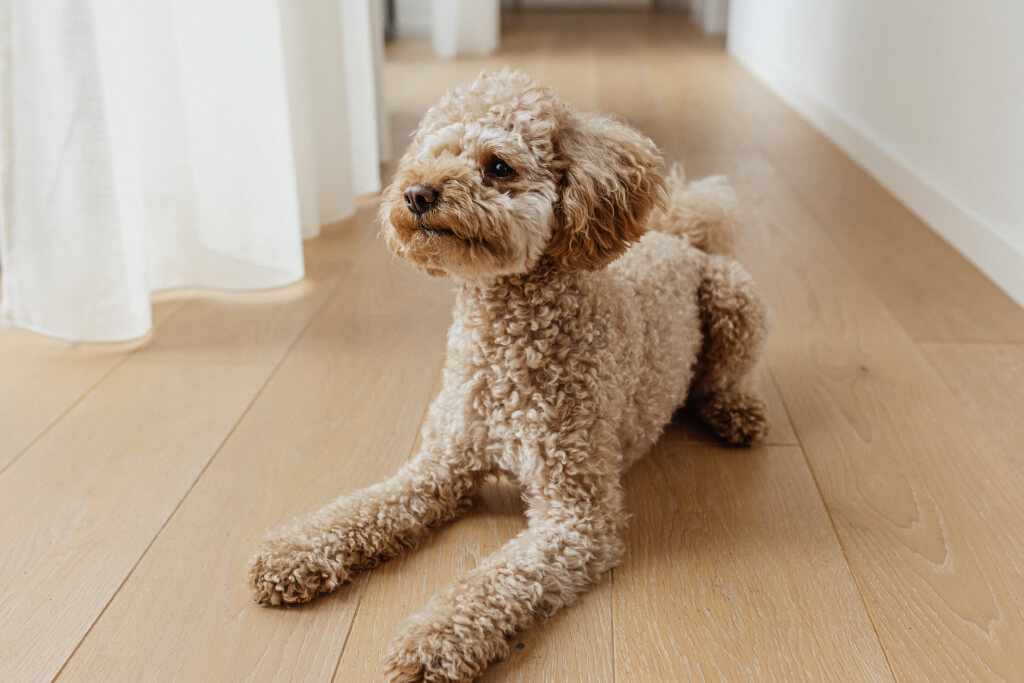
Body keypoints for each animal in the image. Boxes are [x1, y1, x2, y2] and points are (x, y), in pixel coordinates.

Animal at [249, 68, 770, 679]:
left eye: (498, 166)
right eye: (430, 156)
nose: (417, 194)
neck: (504, 347)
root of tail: (680, 235)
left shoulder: (576, 516)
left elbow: (492, 584)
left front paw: (430, 644)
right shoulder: (441, 464)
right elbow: (363, 507)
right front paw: (294, 551)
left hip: (735, 300)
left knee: (722, 379)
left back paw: (734, 411)